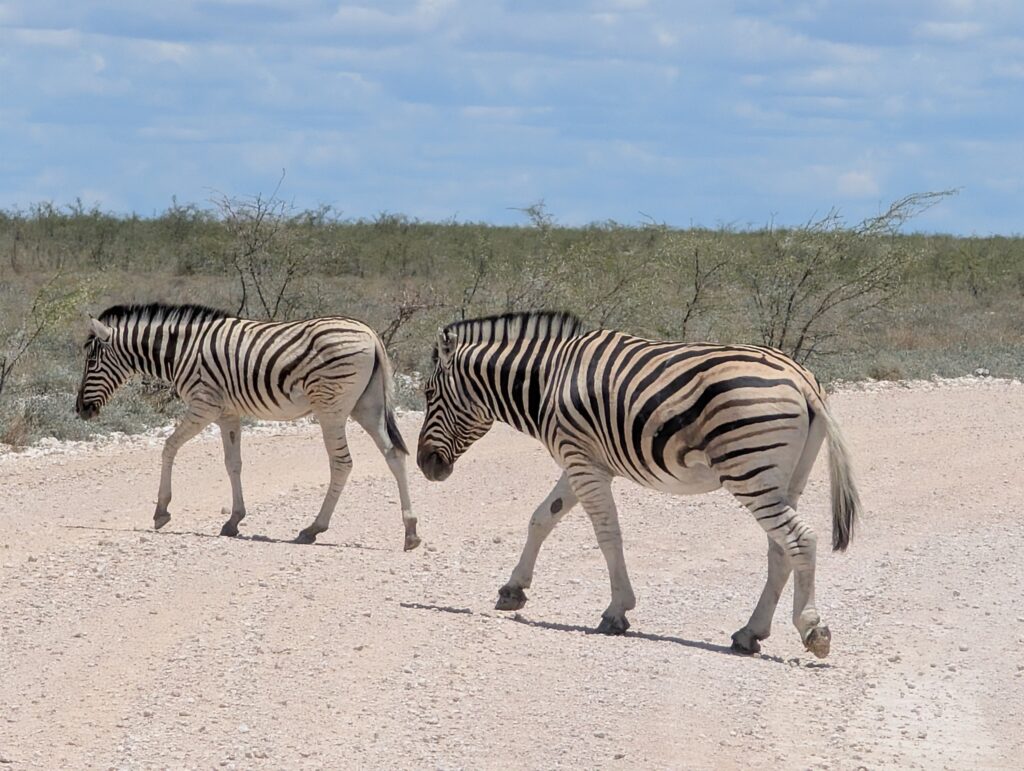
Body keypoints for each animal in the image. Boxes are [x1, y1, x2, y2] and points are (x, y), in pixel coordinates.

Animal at [74, 303, 419, 548]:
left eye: (91, 363)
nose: (80, 410)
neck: (181, 352)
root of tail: (370, 334)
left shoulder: (204, 405)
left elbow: (169, 447)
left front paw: (161, 511)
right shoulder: (228, 413)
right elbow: (233, 463)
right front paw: (234, 520)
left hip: (331, 408)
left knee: (342, 463)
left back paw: (313, 529)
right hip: (367, 406)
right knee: (394, 454)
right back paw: (411, 531)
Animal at [419, 309, 860, 659]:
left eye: (427, 393)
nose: (425, 465)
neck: (548, 380)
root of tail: (801, 377)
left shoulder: (582, 462)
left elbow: (607, 534)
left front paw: (617, 611)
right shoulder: (581, 461)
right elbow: (542, 519)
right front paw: (513, 589)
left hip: (749, 471)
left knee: (800, 539)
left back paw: (812, 628)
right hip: (784, 479)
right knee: (780, 549)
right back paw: (749, 633)